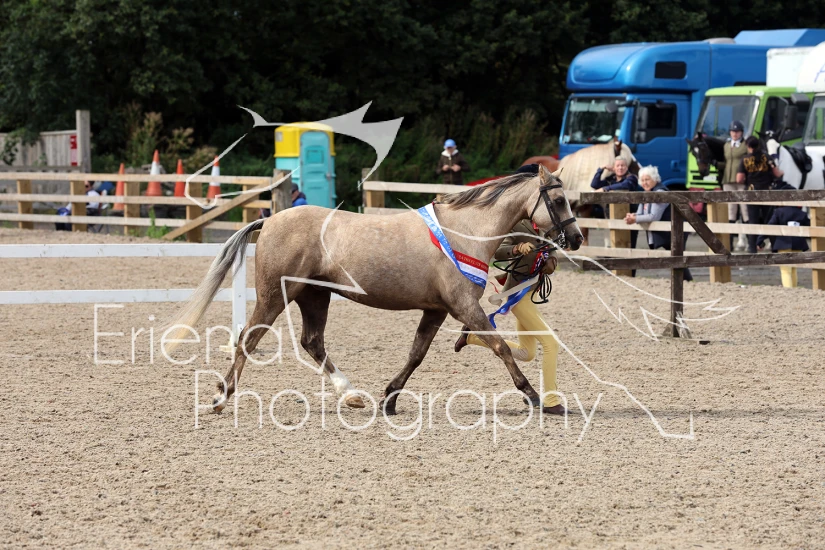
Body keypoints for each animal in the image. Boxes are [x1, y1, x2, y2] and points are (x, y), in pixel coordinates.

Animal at [167, 165, 583, 415]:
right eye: (558, 200)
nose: (577, 238)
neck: (463, 232)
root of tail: (268, 221)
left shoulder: (436, 309)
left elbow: (416, 355)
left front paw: (390, 398)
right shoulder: (464, 306)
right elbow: (499, 346)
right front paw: (535, 396)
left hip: (314, 296)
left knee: (312, 342)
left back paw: (351, 394)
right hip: (275, 296)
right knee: (248, 340)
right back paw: (221, 397)